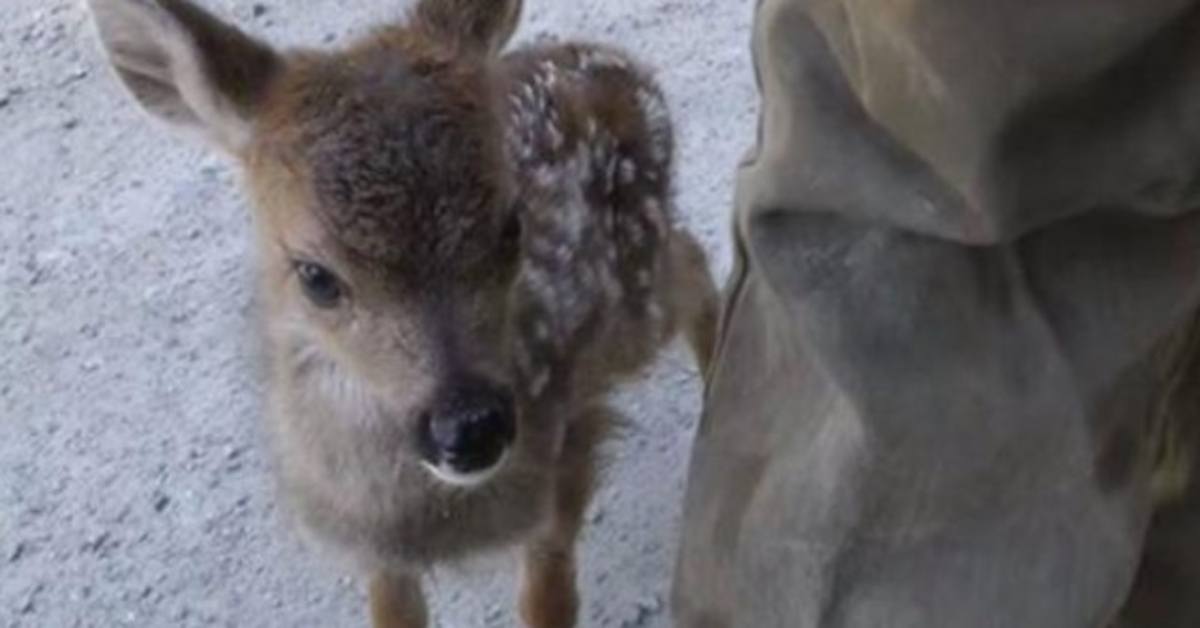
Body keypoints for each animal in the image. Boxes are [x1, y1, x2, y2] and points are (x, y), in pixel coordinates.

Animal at [91, 0, 710, 624]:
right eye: (315, 276)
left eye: (512, 227)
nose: (470, 426)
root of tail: (621, 65)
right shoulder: (375, 547)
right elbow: (393, 608)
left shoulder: (568, 447)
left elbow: (547, 599)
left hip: (634, 298)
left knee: (691, 259)